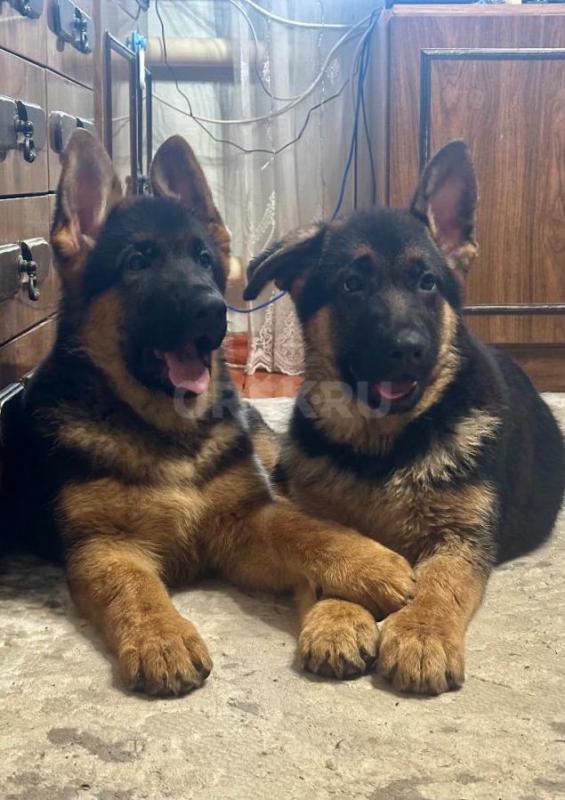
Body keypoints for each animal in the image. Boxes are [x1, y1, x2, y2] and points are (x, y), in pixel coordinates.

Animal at [0, 130, 419, 696]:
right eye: (136, 263)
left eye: (202, 260)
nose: (213, 311)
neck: (170, 434)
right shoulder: (103, 548)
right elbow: (133, 588)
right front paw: (161, 637)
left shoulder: (246, 521)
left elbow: (308, 530)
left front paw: (368, 561)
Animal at [244, 140, 565, 695]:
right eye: (351, 284)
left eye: (427, 283)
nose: (408, 349)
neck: (385, 447)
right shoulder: (318, 517)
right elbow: (329, 553)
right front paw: (338, 614)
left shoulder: (462, 539)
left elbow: (441, 583)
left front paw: (421, 632)